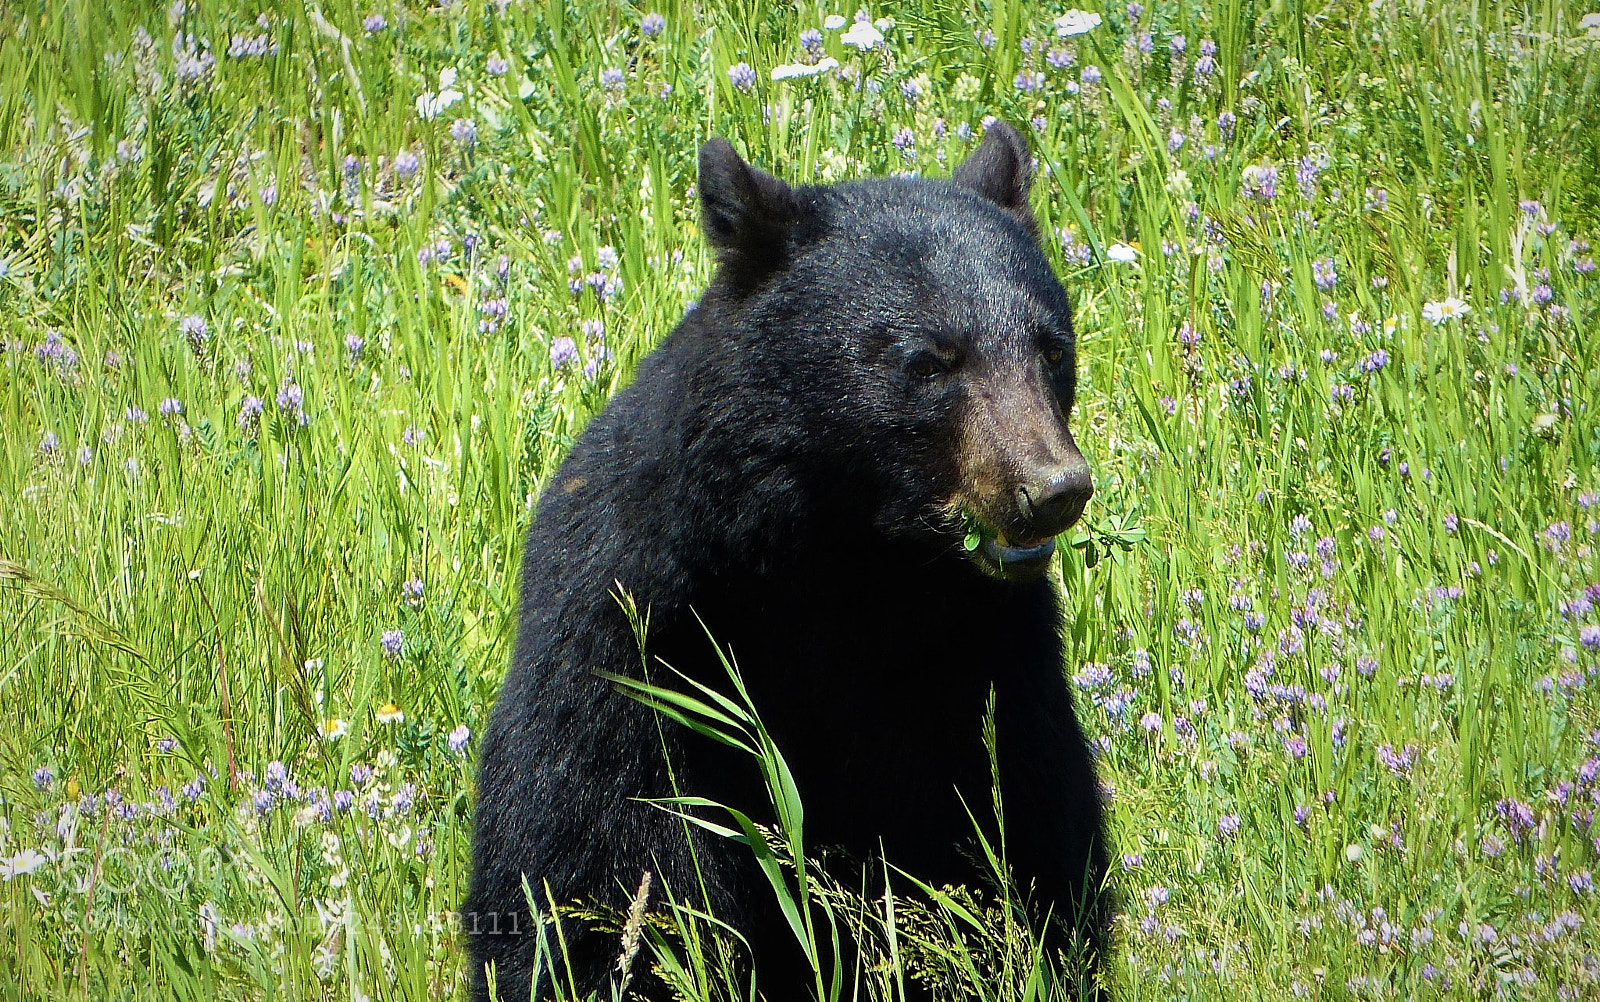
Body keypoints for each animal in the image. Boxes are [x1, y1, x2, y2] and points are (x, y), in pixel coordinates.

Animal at [465, 121, 1108, 1002]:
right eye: (928, 360)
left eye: (1052, 349)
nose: (1050, 488)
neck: (847, 570)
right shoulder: (638, 637)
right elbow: (601, 847)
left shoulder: (988, 659)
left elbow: (1022, 821)